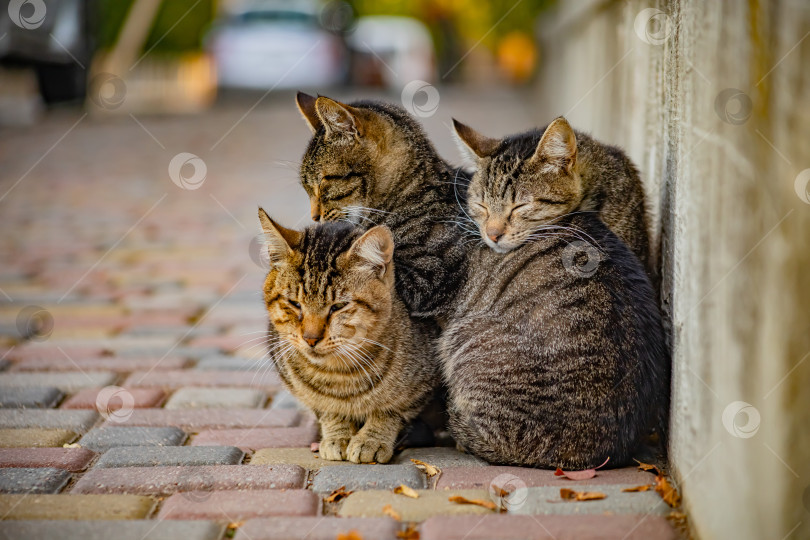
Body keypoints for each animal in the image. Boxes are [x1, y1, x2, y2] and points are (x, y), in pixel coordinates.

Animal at [258, 209, 436, 462]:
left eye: (338, 306)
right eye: (294, 303)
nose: (311, 338)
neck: (339, 374)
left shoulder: (422, 385)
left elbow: (391, 410)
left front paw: (372, 439)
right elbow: (326, 408)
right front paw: (338, 434)